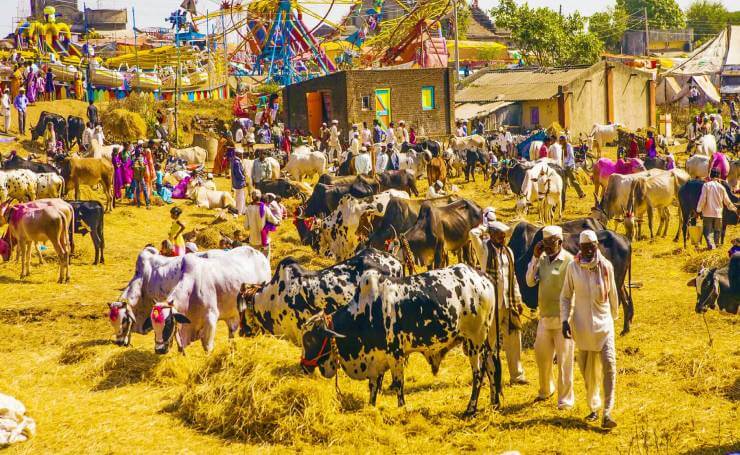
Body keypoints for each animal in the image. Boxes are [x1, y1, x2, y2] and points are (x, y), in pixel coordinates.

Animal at [300, 264, 502, 416]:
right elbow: (373, 386)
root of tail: (483, 277)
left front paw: (401, 408)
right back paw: (494, 403)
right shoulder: (377, 359)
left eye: (310, 340)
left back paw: (470, 409)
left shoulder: (395, 354)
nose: (303, 366)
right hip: (486, 342)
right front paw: (371, 407)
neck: (366, 313)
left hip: (475, 341)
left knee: (478, 374)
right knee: (492, 367)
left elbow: (398, 383)